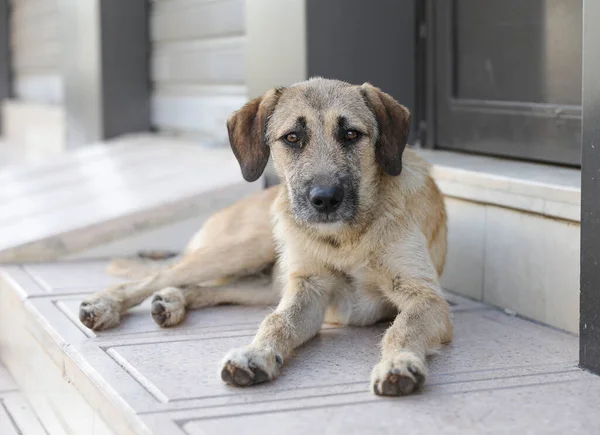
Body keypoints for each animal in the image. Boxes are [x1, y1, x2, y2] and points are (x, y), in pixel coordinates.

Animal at [78, 76, 450, 396]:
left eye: (351, 134)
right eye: (292, 138)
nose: (325, 199)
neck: (345, 237)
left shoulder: (424, 296)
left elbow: (402, 328)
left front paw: (399, 363)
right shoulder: (309, 289)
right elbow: (277, 322)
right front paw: (256, 354)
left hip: (264, 282)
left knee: (207, 289)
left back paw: (170, 301)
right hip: (246, 247)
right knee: (158, 276)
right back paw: (105, 304)